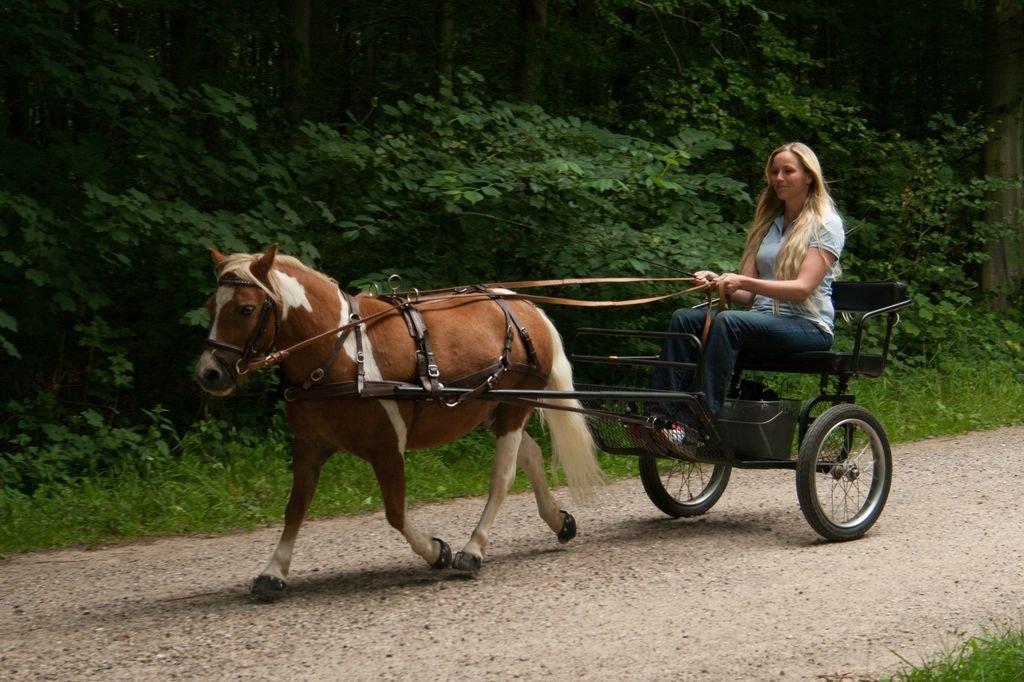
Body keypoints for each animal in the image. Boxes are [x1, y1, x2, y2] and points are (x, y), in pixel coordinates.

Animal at [195, 246, 602, 598]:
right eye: (211, 305)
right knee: (530, 455)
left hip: (513, 408)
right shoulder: (309, 447)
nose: (209, 373)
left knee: (502, 477)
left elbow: (395, 510)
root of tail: (524, 305)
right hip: (494, 409)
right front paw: (273, 571)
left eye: (246, 309)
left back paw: (473, 549)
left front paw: (437, 551)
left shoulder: (387, 446)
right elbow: (295, 507)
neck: (341, 352)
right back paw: (558, 521)